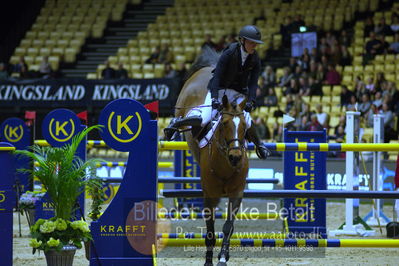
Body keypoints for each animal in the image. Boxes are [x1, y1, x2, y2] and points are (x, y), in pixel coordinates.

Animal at [170, 48, 248, 266]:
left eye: (245, 127)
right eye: (224, 124)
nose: (235, 156)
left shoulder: (236, 193)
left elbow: (228, 226)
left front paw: (223, 256)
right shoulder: (210, 194)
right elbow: (211, 229)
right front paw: (208, 260)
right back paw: (171, 126)